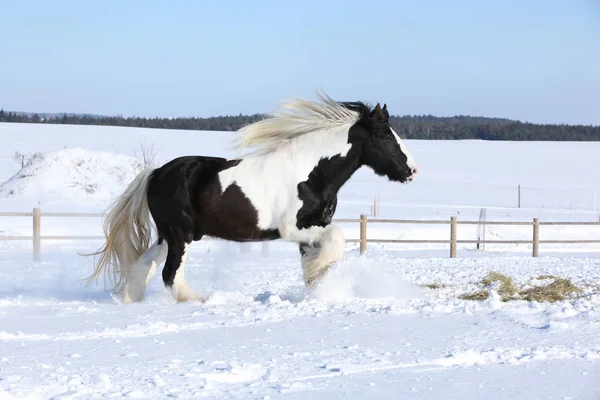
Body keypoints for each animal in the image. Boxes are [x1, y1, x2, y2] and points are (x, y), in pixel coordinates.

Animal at [84, 91, 418, 304]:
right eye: (386, 136)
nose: (412, 170)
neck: (311, 172)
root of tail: (156, 173)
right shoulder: (293, 228)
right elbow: (337, 240)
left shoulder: (312, 228)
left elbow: (313, 262)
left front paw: (319, 290)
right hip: (181, 235)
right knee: (170, 274)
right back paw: (201, 301)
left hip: (167, 235)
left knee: (144, 266)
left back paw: (131, 302)